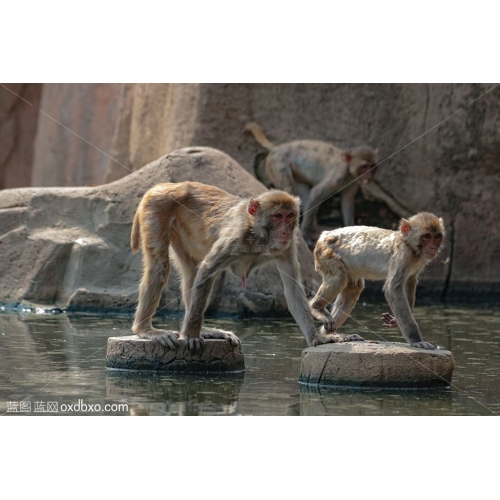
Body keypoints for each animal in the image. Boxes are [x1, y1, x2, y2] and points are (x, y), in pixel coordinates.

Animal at [131, 180, 356, 352]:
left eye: (290, 216)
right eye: (277, 216)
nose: (285, 231)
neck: (261, 236)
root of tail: (167, 185)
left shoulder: (288, 246)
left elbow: (293, 289)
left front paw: (318, 338)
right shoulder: (236, 237)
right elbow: (208, 269)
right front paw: (192, 335)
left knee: (190, 270)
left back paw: (204, 330)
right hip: (157, 208)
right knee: (160, 267)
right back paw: (146, 330)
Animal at [243, 121, 378, 246]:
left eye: (372, 166)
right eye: (364, 166)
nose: (369, 175)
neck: (349, 172)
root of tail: (279, 147)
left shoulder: (354, 182)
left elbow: (347, 203)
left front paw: (352, 230)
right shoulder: (338, 174)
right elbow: (317, 192)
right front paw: (304, 235)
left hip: (296, 175)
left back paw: (315, 227)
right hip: (278, 162)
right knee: (289, 189)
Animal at [308, 213, 446, 350]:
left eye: (437, 236)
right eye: (427, 236)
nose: (433, 247)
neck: (410, 246)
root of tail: (324, 235)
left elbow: (409, 281)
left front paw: (395, 321)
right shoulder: (403, 255)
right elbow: (392, 289)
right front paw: (416, 340)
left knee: (354, 287)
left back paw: (330, 334)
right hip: (326, 253)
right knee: (340, 277)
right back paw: (316, 308)